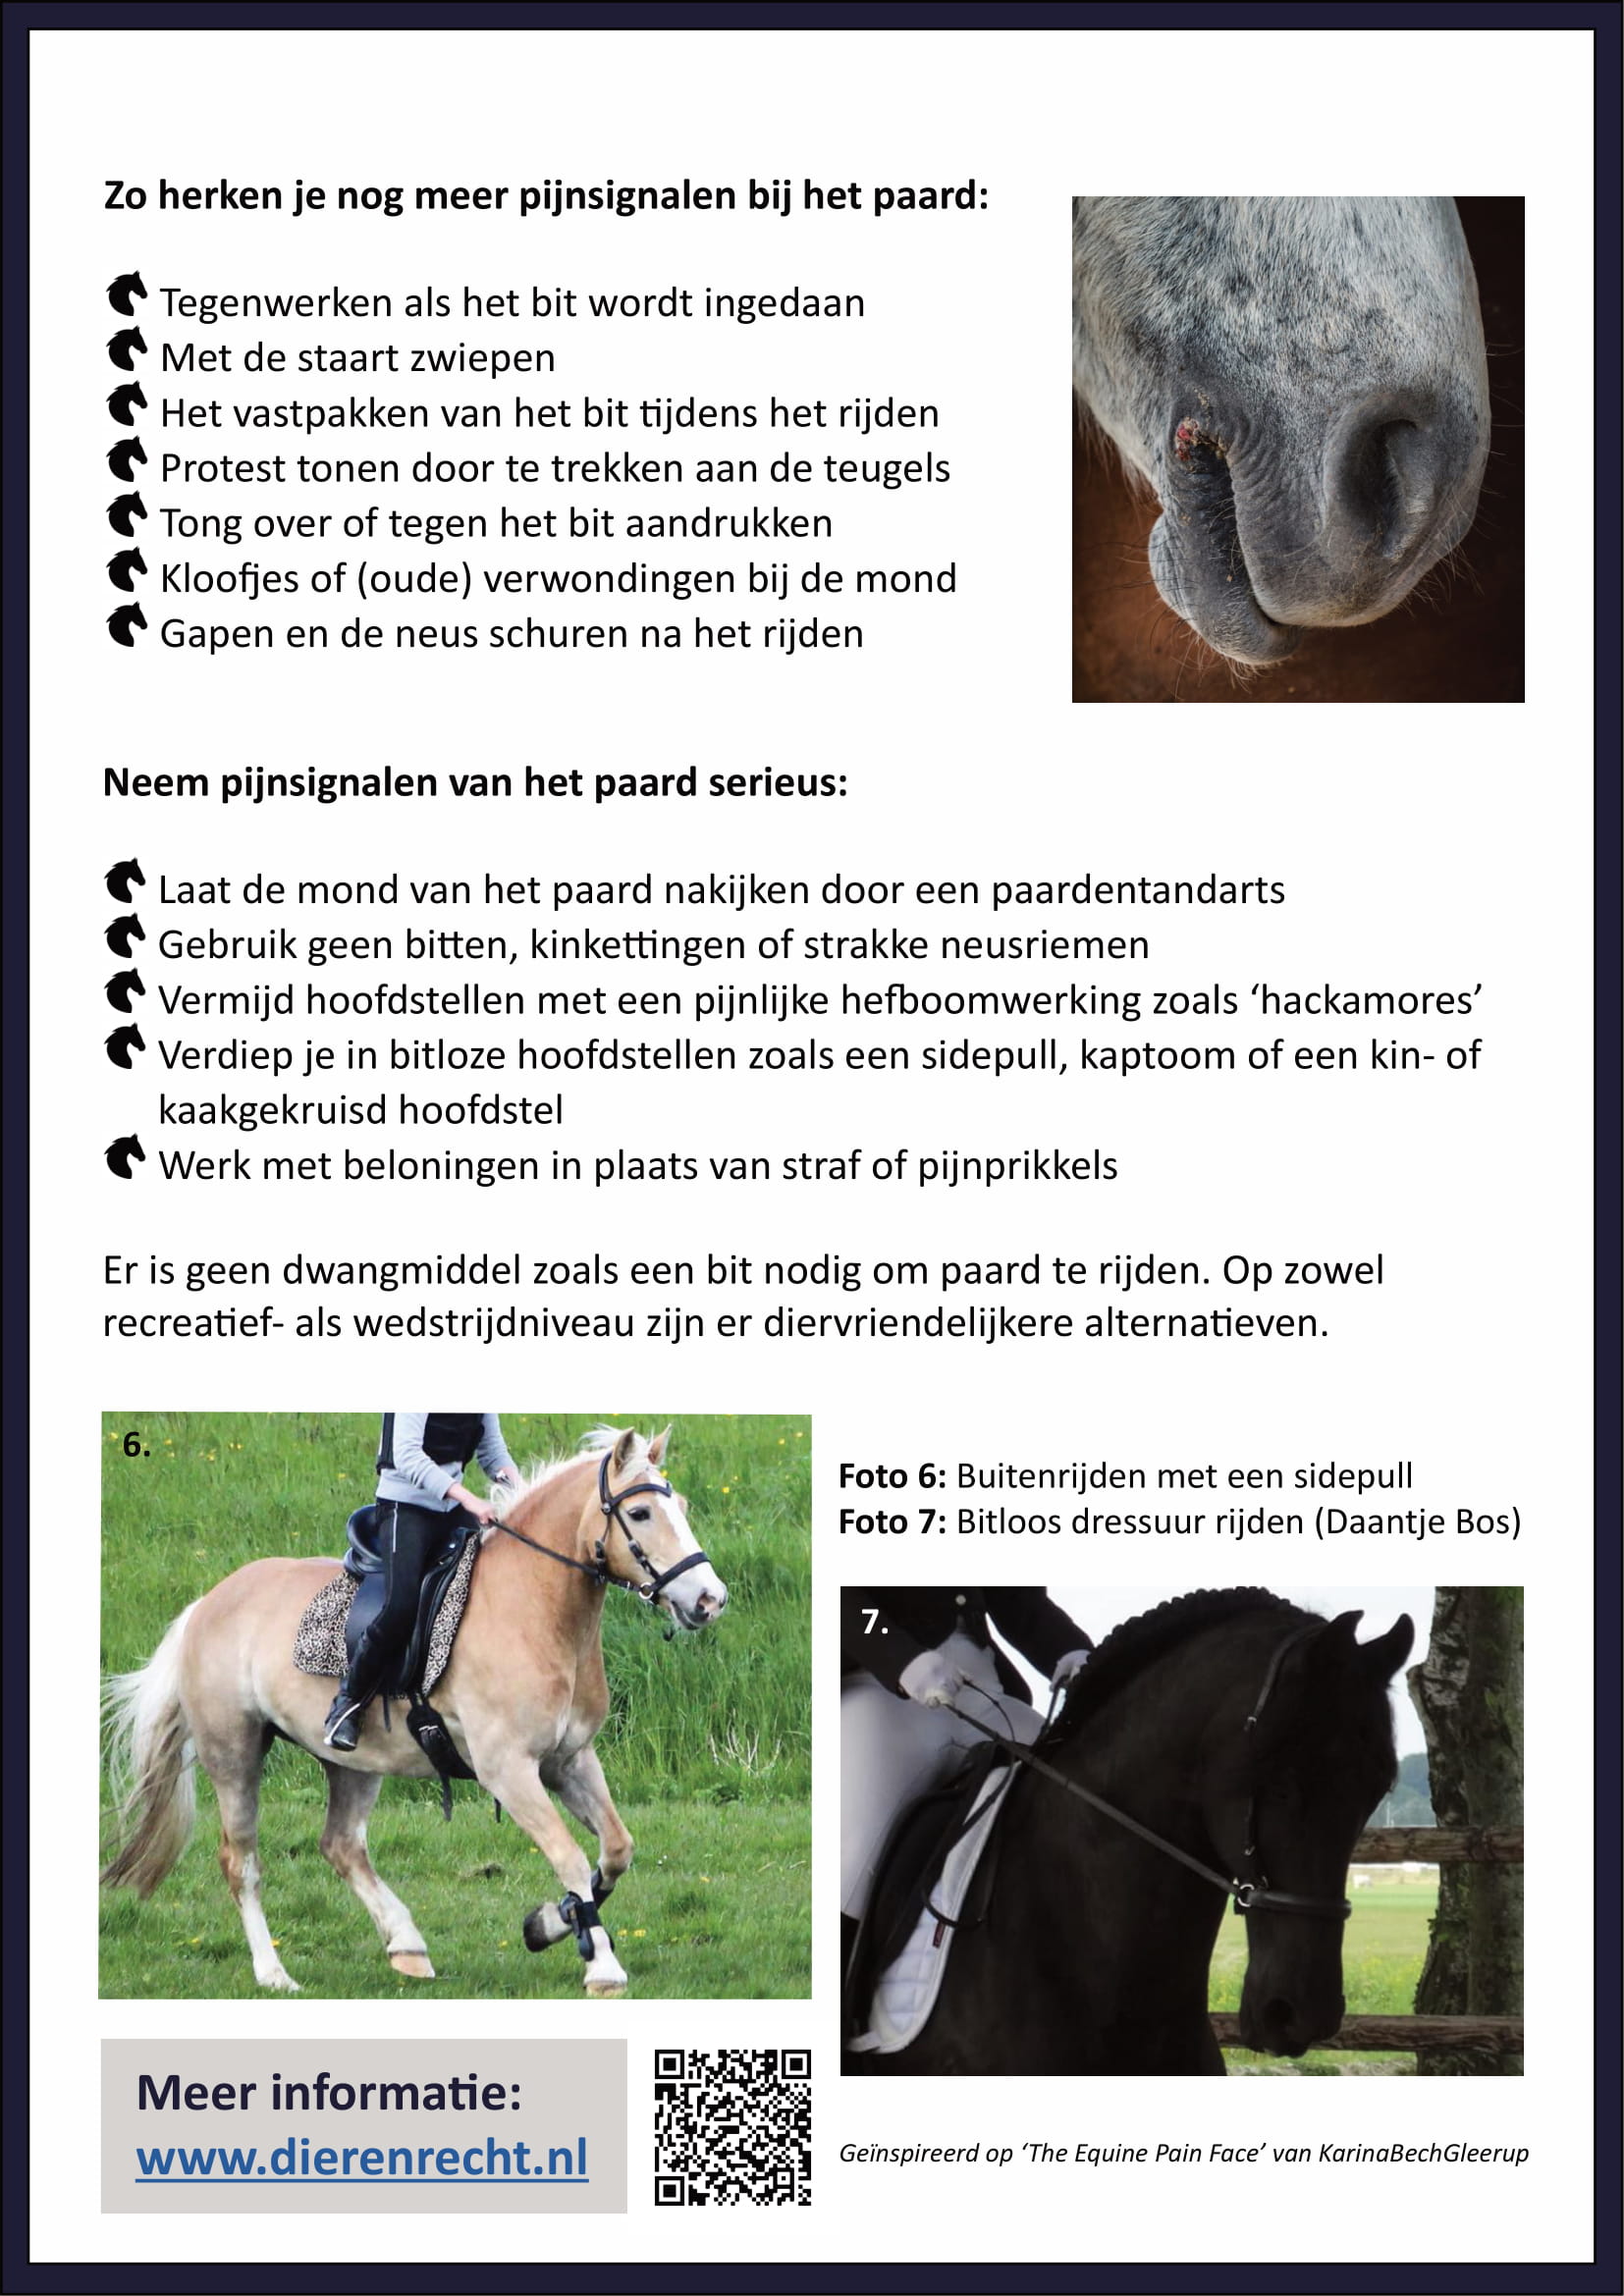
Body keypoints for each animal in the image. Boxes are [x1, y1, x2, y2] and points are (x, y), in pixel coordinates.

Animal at [101, 1428, 727, 1997]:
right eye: (641, 1512)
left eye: (682, 1508)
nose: (709, 1600)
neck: (534, 1609)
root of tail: (207, 1602)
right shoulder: (508, 1771)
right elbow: (571, 1858)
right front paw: (602, 1967)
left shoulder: (569, 1760)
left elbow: (615, 1851)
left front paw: (549, 1924)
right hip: (234, 1752)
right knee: (242, 1862)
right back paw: (274, 1974)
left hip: (352, 1762)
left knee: (341, 1846)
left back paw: (406, 1945)